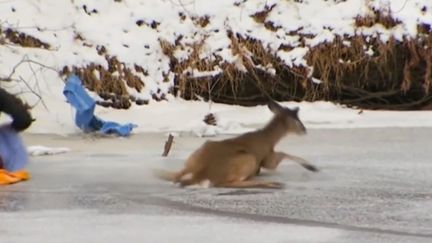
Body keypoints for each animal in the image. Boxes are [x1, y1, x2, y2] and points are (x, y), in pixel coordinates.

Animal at [155, 99, 318, 189]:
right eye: (297, 120)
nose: (305, 130)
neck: (268, 139)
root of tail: (203, 172)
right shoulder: (267, 159)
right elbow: (283, 154)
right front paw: (311, 167)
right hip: (247, 158)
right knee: (225, 182)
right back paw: (272, 184)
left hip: (198, 153)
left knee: (179, 175)